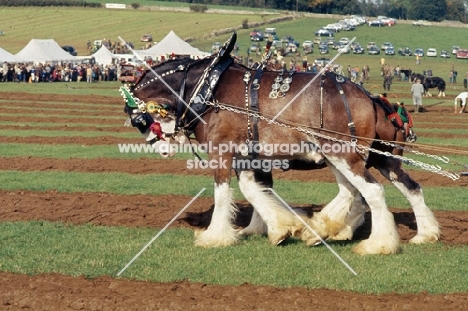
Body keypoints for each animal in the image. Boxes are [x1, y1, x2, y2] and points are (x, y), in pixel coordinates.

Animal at [121, 39, 438, 255]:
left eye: (139, 121)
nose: (160, 148)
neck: (207, 89)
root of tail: (370, 98)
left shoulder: (222, 152)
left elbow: (225, 194)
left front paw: (215, 236)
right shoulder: (250, 157)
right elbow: (256, 190)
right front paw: (271, 227)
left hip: (343, 154)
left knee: (370, 192)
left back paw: (376, 243)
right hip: (368, 158)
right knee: (401, 188)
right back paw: (420, 234)